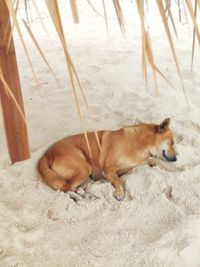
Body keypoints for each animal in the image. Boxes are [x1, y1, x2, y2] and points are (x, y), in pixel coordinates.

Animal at [37, 119, 177, 201]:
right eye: (172, 142)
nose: (176, 158)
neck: (139, 144)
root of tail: (46, 155)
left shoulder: (139, 163)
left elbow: (157, 162)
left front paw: (175, 169)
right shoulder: (108, 168)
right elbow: (118, 180)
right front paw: (120, 193)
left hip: (86, 175)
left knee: (74, 188)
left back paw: (88, 195)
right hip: (84, 168)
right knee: (66, 188)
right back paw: (82, 198)